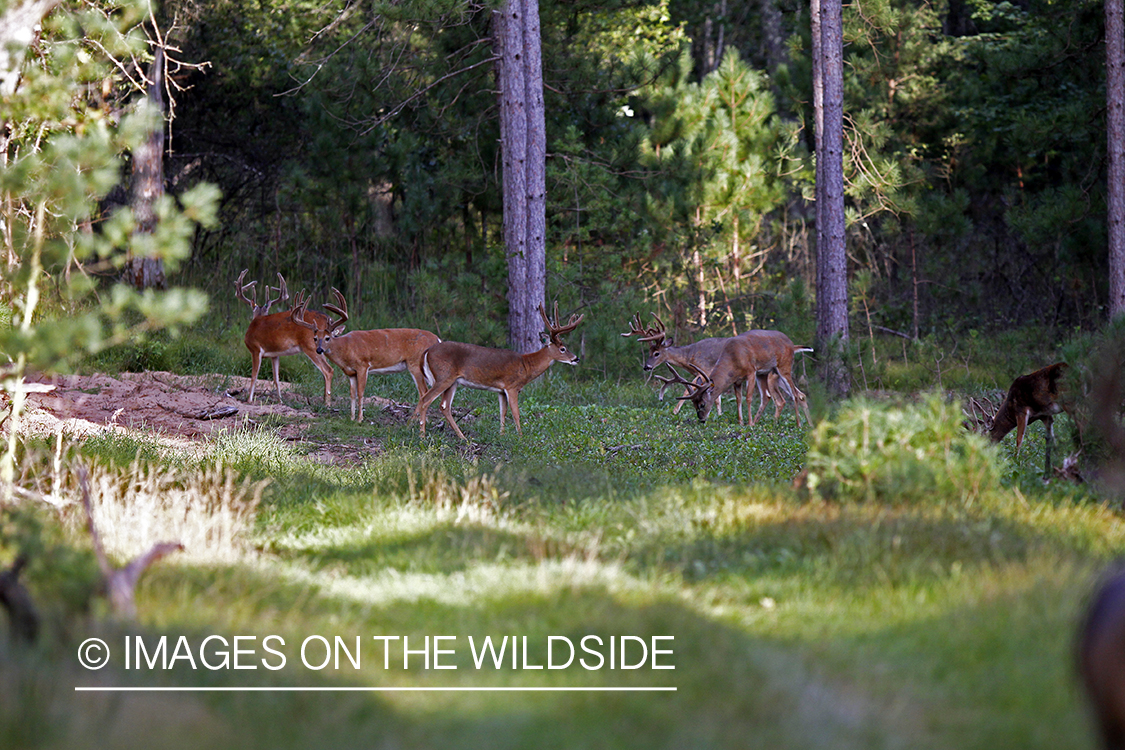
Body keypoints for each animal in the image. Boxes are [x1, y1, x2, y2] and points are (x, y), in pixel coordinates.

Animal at [230, 269, 330, 407]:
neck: (256, 320)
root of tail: (327, 318)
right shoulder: (275, 354)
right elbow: (276, 378)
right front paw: (280, 401)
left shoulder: (255, 349)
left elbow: (254, 376)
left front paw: (249, 400)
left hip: (310, 346)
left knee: (328, 370)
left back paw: (327, 404)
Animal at [292, 290, 441, 422]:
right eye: (315, 338)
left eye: (328, 338)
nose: (319, 350)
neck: (345, 348)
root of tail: (437, 340)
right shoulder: (350, 372)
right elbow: (352, 394)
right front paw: (352, 418)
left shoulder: (363, 365)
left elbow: (360, 392)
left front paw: (360, 419)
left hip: (414, 364)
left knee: (423, 391)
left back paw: (411, 421)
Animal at [418, 303, 585, 443]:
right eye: (563, 348)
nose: (576, 358)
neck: (526, 365)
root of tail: (427, 352)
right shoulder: (512, 386)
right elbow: (516, 413)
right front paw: (520, 437)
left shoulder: (500, 390)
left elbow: (502, 412)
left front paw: (502, 435)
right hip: (443, 377)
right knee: (425, 400)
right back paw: (422, 436)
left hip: (453, 382)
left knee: (444, 406)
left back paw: (462, 437)